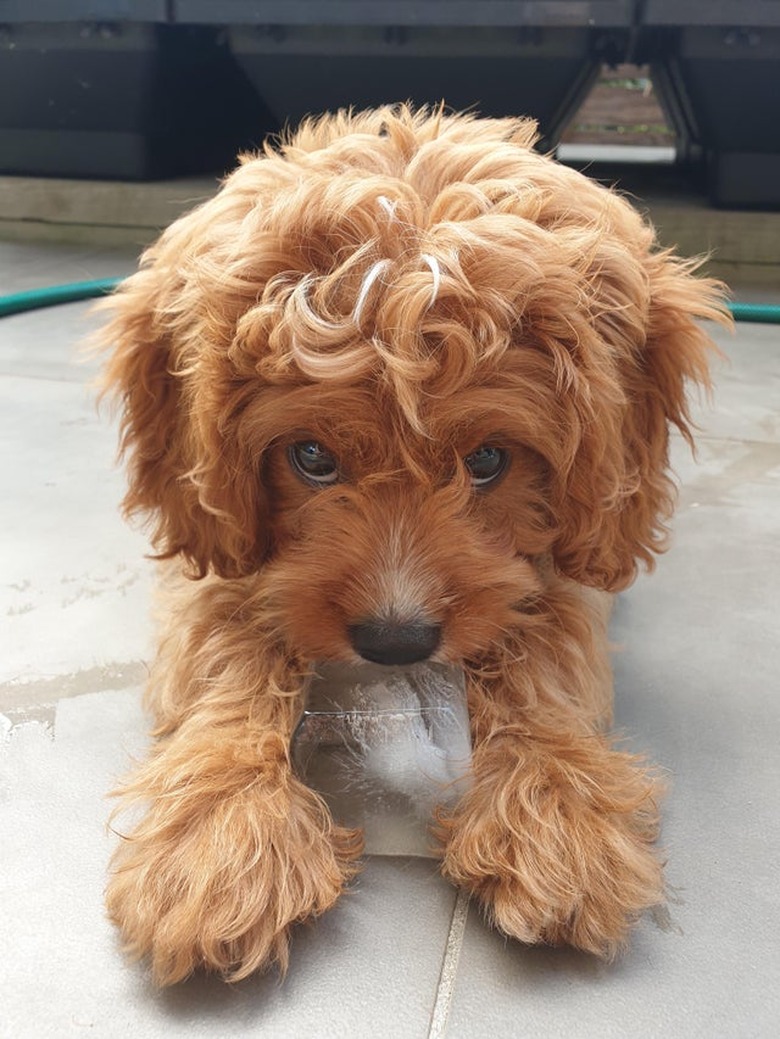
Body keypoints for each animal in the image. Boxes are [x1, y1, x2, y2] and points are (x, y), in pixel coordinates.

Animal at [100, 105, 731, 980]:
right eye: (311, 455)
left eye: (490, 459)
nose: (395, 642)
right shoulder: (222, 553)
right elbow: (229, 647)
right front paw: (220, 834)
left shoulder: (558, 564)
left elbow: (545, 652)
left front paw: (555, 811)